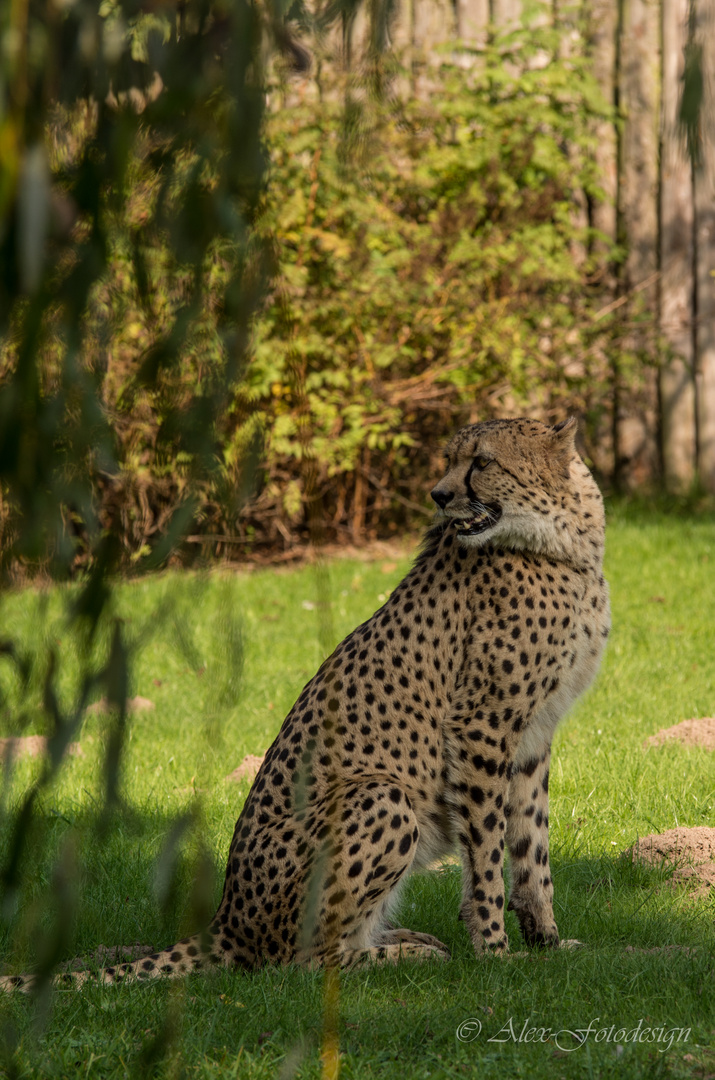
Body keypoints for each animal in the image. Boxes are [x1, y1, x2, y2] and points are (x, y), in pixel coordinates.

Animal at [1, 416, 609, 989]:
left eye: (481, 462)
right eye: (450, 461)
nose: (437, 495)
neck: (563, 542)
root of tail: (225, 918)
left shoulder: (532, 733)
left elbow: (531, 844)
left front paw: (548, 943)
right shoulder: (481, 725)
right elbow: (487, 850)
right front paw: (494, 950)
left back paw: (407, 938)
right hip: (381, 796)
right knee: (303, 962)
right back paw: (405, 954)